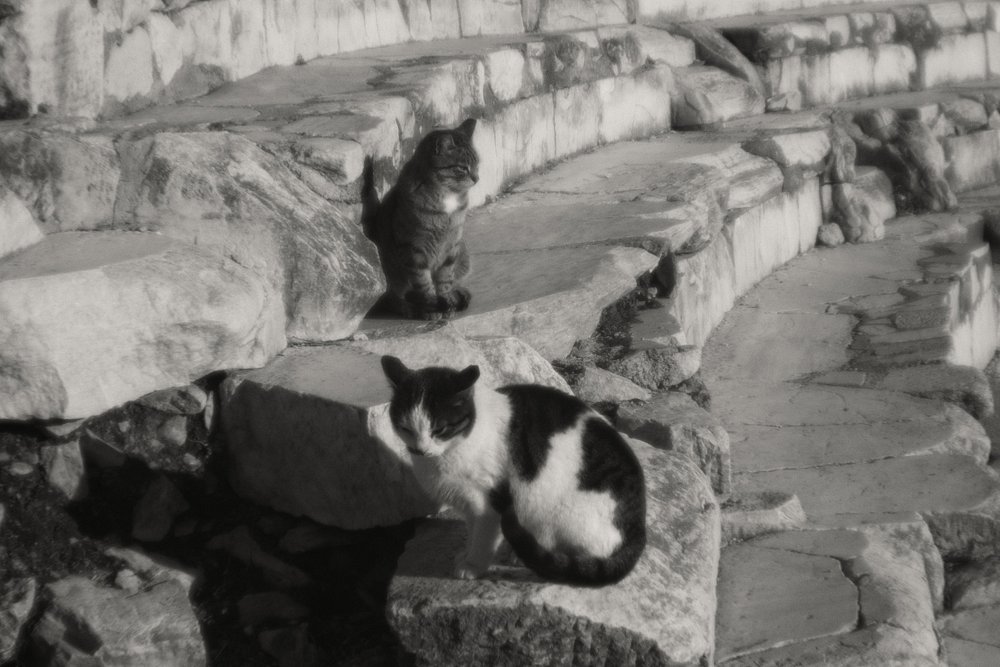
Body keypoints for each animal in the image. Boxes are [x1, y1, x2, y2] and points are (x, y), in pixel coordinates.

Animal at [362, 118, 479, 320]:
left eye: (477, 163)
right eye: (462, 168)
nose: (477, 178)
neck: (446, 195)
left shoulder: (452, 246)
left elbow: (445, 279)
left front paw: (447, 299)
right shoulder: (414, 249)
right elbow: (423, 283)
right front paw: (433, 306)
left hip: (463, 254)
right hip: (390, 274)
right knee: (395, 299)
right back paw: (414, 308)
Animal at [381, 355, 647, 585]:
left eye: (440, 429)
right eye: (405, 428)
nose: (420, 449)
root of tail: (638, 529)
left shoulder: (488, 503)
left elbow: (483, 538)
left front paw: (473, 565)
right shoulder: (468, 505)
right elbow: (472, 532)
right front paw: (466, 554)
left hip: (557, 509)